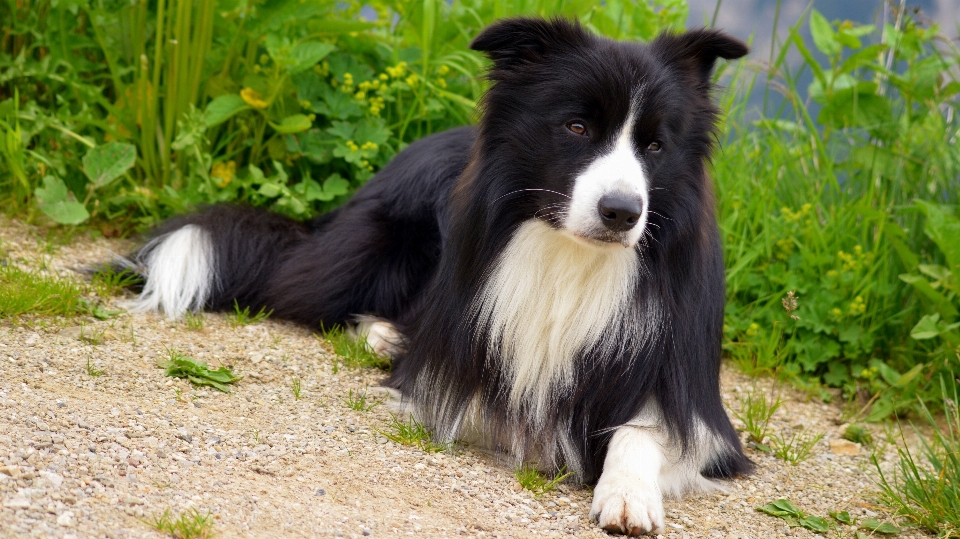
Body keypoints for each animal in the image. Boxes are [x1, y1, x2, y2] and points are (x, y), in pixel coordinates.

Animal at [120, 17, 752, 536]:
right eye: (576, 127)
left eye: (655, 145)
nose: (622, 212)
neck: (570, 258)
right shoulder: (456, 370)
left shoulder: (697, 406)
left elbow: (642, 432)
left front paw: (627, 495)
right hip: (373, 249)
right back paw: (380, 334)